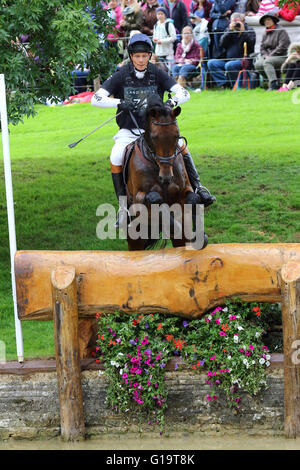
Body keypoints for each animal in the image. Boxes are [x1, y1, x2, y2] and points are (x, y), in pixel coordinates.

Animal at [123, 93, 205, 252]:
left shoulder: (184, 191)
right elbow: (155, 200)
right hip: (134, 237)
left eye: (176, 135)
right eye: (154, 137)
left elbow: (194, 199)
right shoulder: (139, 201)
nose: (166, 176)